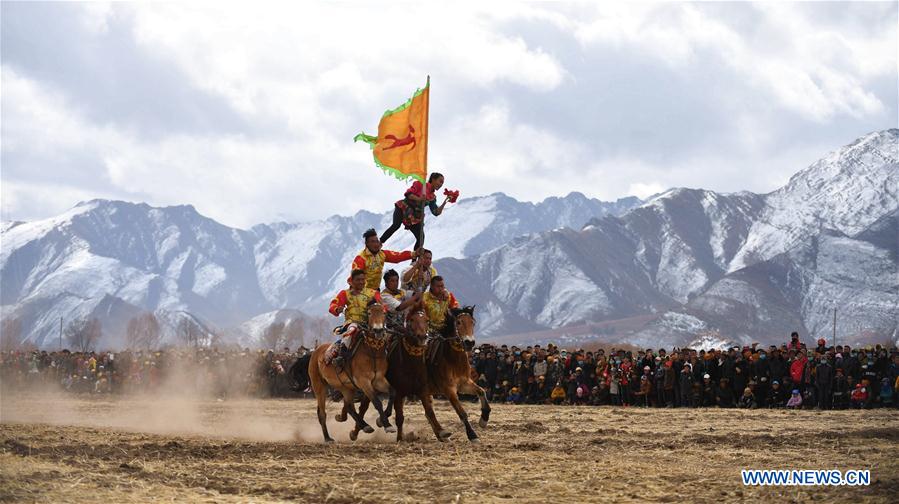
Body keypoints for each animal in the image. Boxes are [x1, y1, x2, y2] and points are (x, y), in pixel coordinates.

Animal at [352, 308, 450, 440]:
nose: (423, 337)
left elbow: (429, 412)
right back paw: (356, 432)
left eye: (427, 320)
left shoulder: (423, 390)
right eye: (411, 320)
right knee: (364, 407)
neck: (410, 364)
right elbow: (399, 417)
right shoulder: (398, 392)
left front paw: (442, 432)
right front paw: (398, 437)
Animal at [428, 304, 492, 440]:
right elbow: (461, 412)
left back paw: (441, 434)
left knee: (428, 411)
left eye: (473, 323)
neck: (453, 361)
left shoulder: (464, 383)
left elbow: (482, 391)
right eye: (458, 322)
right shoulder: (448, 389)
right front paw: (472, 434)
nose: (469, 342)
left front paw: (484, 419)